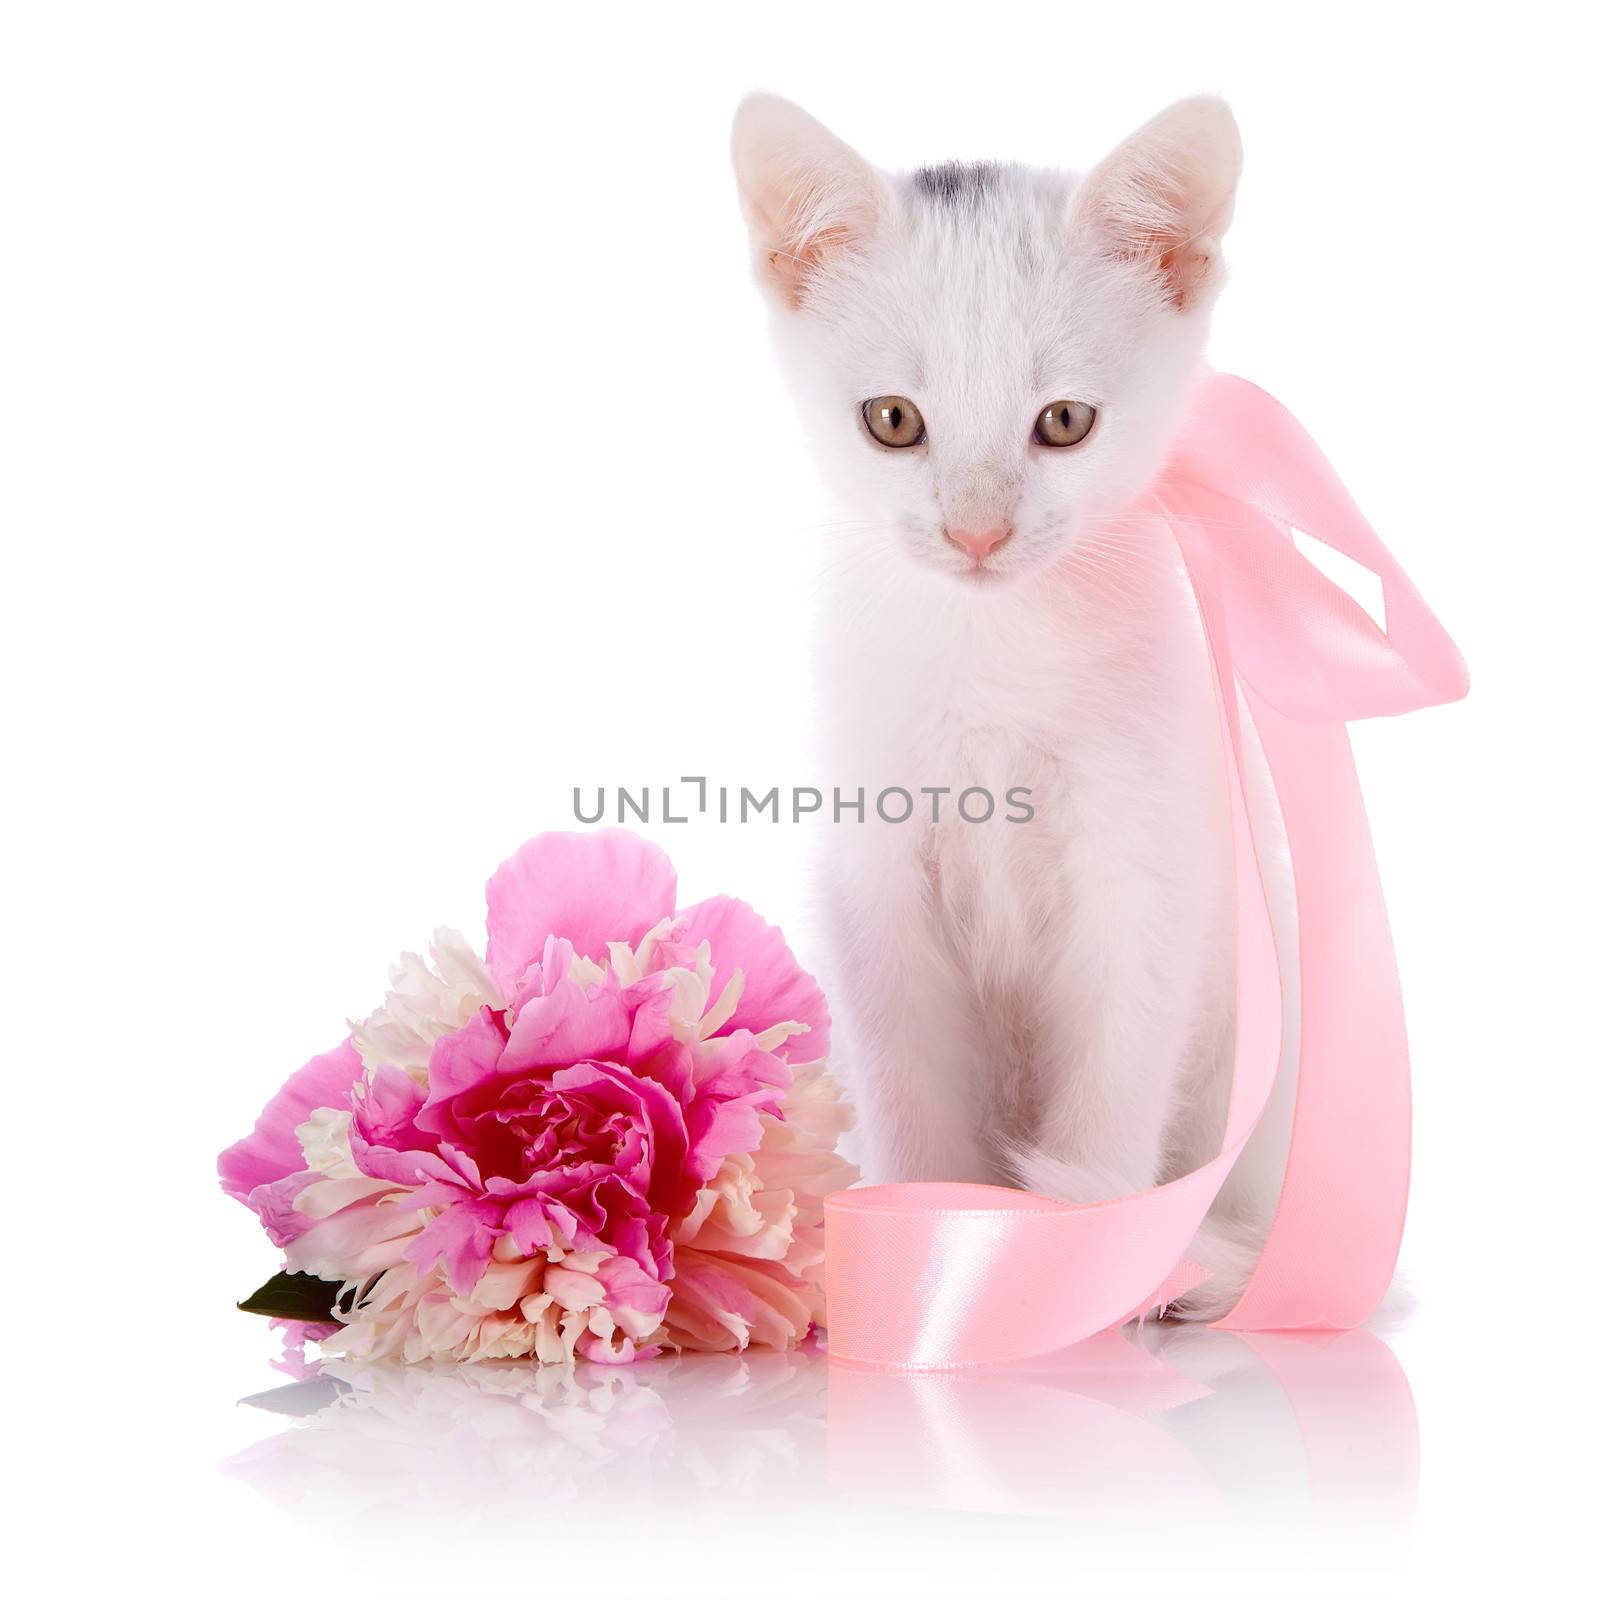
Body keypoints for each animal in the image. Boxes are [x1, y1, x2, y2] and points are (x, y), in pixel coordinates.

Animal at [729, 96, 1299, 1312]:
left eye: (1065, 420)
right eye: (893, 419)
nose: (977, 531)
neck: (993, 650)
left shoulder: (1146, 867)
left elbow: (1116, 1074)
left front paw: (1080, 1262)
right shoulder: (876, 876)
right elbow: (909, 1091)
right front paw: (919, 1249)